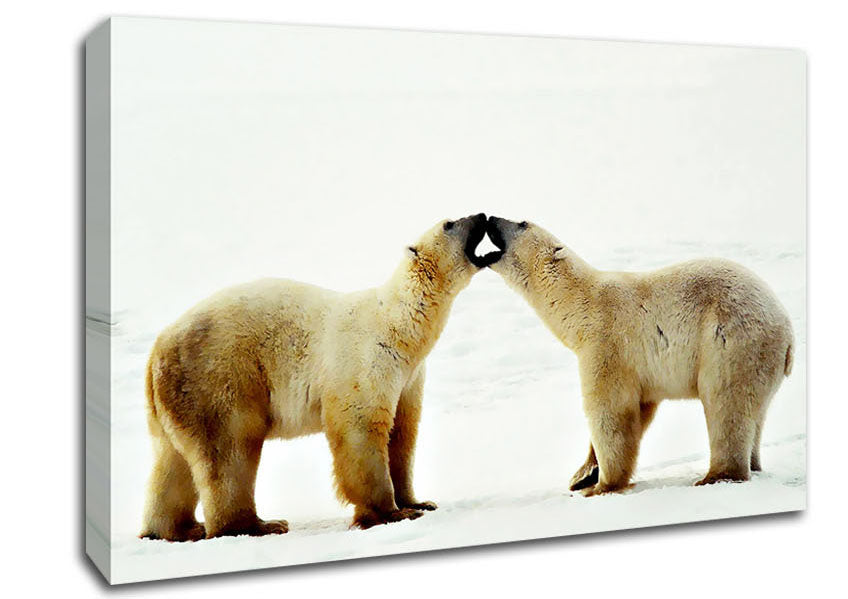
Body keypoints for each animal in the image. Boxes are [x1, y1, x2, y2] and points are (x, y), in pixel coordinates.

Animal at [139, 213, 502, 540]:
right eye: (450, 224)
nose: (482, 215)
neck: (399, 327)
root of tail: (157, 349)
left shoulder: (409, 377)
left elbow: (403, 433)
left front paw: (419, 502)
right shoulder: (365, 360)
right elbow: (361, 429)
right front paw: (390, 513)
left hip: (174, 400)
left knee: (171, 462)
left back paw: (174, 529)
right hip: (218, 377)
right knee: (230, 449)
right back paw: (257, 525)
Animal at [486, 216, 794, 496]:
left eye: (522, 223)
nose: (490, 218)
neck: (581, 305)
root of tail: (787, 331)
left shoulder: (607, 344)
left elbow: (610, 412)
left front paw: (601, 485)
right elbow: (639, 409)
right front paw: (582, 475)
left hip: (731, 341)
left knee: (726, 403)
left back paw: (716, 475)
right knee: (756, 413)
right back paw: (753, 464)